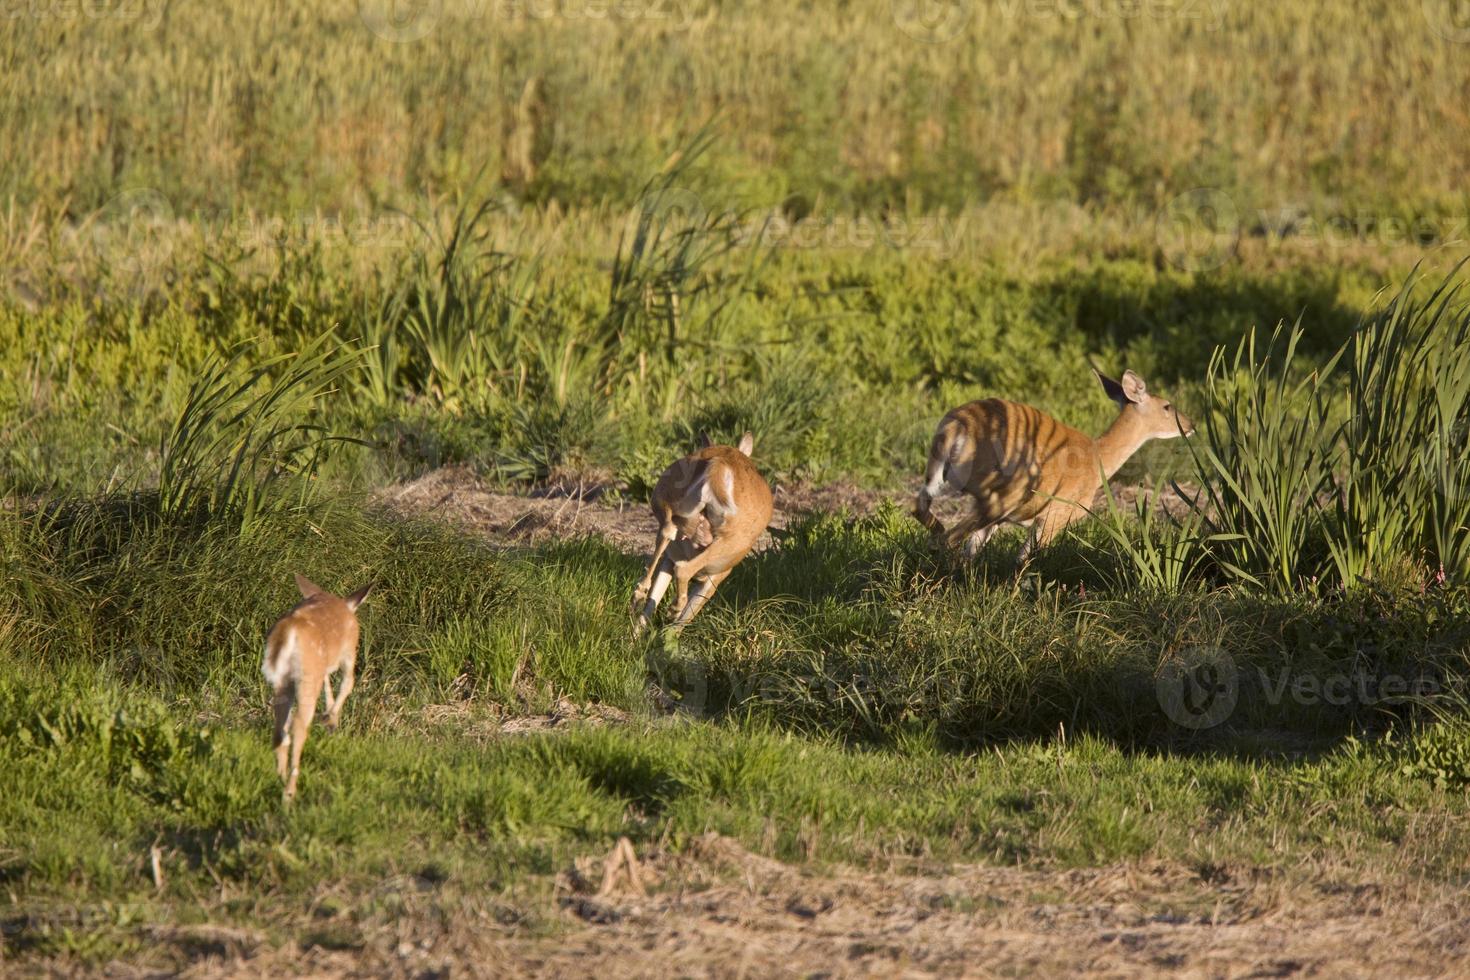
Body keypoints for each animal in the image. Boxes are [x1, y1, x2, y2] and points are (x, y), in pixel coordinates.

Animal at [260, 575, 370, 805]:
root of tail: (288, 629)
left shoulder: (323, 665)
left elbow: (329, 682)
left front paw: (330, 718)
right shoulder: (348, 652)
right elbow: (348, 683)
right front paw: (330, 719)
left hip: (284, 680)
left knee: (279, 730)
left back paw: (280, 779)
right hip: (308, 672)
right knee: (298, 724)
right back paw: (289, 793)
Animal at [629, 431, 776, 637]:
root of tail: (718, 466)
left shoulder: (669, 559)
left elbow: (654, 600)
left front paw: (635, 638)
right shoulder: (713, 579)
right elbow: (685, 618)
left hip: (663, 505)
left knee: (666, 533)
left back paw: (638, 599)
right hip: (728, 544)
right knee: (683, 571)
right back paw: (674, 609)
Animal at [917, 367, 1193, 564]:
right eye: (1167, 406)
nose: (1190, 425)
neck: (1097, 459)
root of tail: (954, 427)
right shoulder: (1056, 515)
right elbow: (1025, 561)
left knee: (927, 515)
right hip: (1002, 493)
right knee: (947, 539)